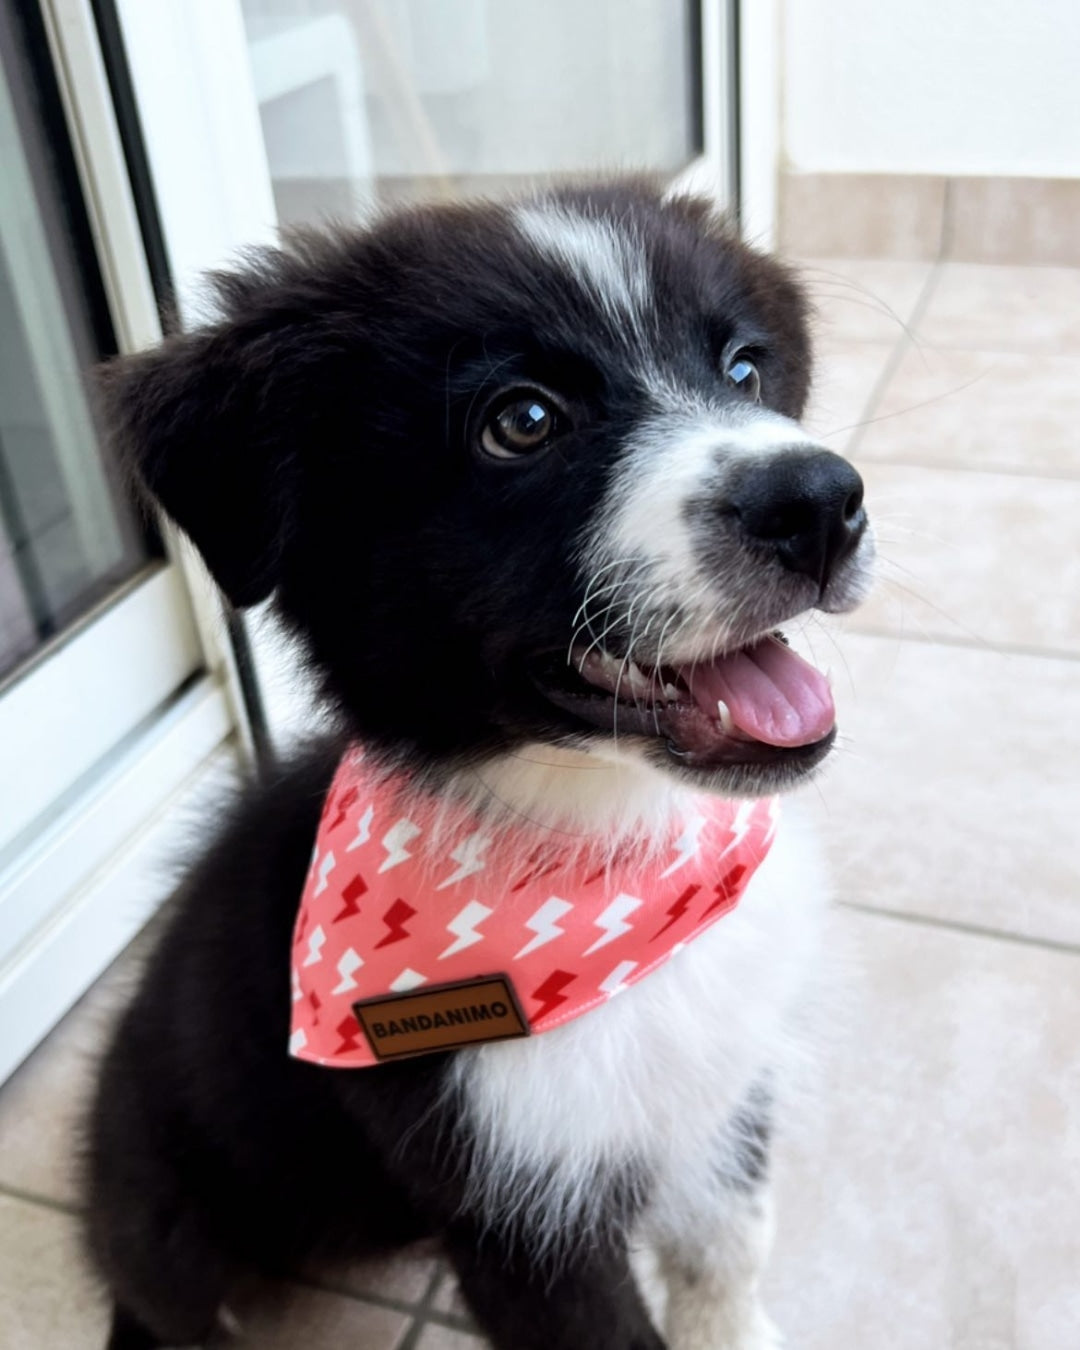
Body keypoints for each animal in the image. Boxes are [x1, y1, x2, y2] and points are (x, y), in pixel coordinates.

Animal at [86, 182, 874, 1350]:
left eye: (741, 368)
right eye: (523, 421)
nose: (821, 502)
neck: (613, 845)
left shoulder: (721, 1081)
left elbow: (727, 1243)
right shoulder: (511, 1201)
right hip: (163, 1212)